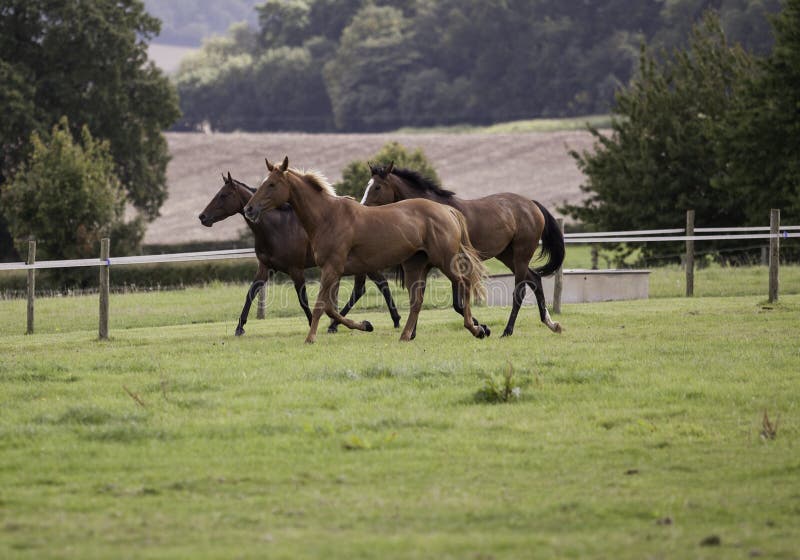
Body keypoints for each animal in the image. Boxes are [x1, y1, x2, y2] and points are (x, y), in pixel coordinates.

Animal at [198, 173, 400, 334]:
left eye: (223, 195)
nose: (202, 217)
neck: (275, 228)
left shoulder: (295, 269)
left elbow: (302, 298)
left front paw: (312, 323)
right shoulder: (266, 268)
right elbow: (251, 292)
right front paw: (240, 327)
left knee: (377, 285)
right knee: (369, 287)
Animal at [241, 155, 488, 344]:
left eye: (271, 184)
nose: (249, 209)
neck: (327, 216)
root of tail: (447, 211)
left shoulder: (331, 268)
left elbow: (321, 306)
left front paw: (310, 338)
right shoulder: (333, 271)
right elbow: (331, 308)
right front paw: (365, 324)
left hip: (445, 260)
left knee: (464, 284)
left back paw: (476, 329)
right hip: (415, 265)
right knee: (416, 300)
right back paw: (406, 335)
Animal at [360, 162, 564, 336]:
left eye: (377, 187)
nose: (362, 209)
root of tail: (532, 204)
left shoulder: (452, 262)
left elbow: (457, 304)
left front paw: (481, 327)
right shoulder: (426, 264)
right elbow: (420, 295)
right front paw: (412, 332)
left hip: (521, 254)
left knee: (520, 290)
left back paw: (508, 330)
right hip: (507, 255)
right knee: (534, 279)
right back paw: (551, 324)